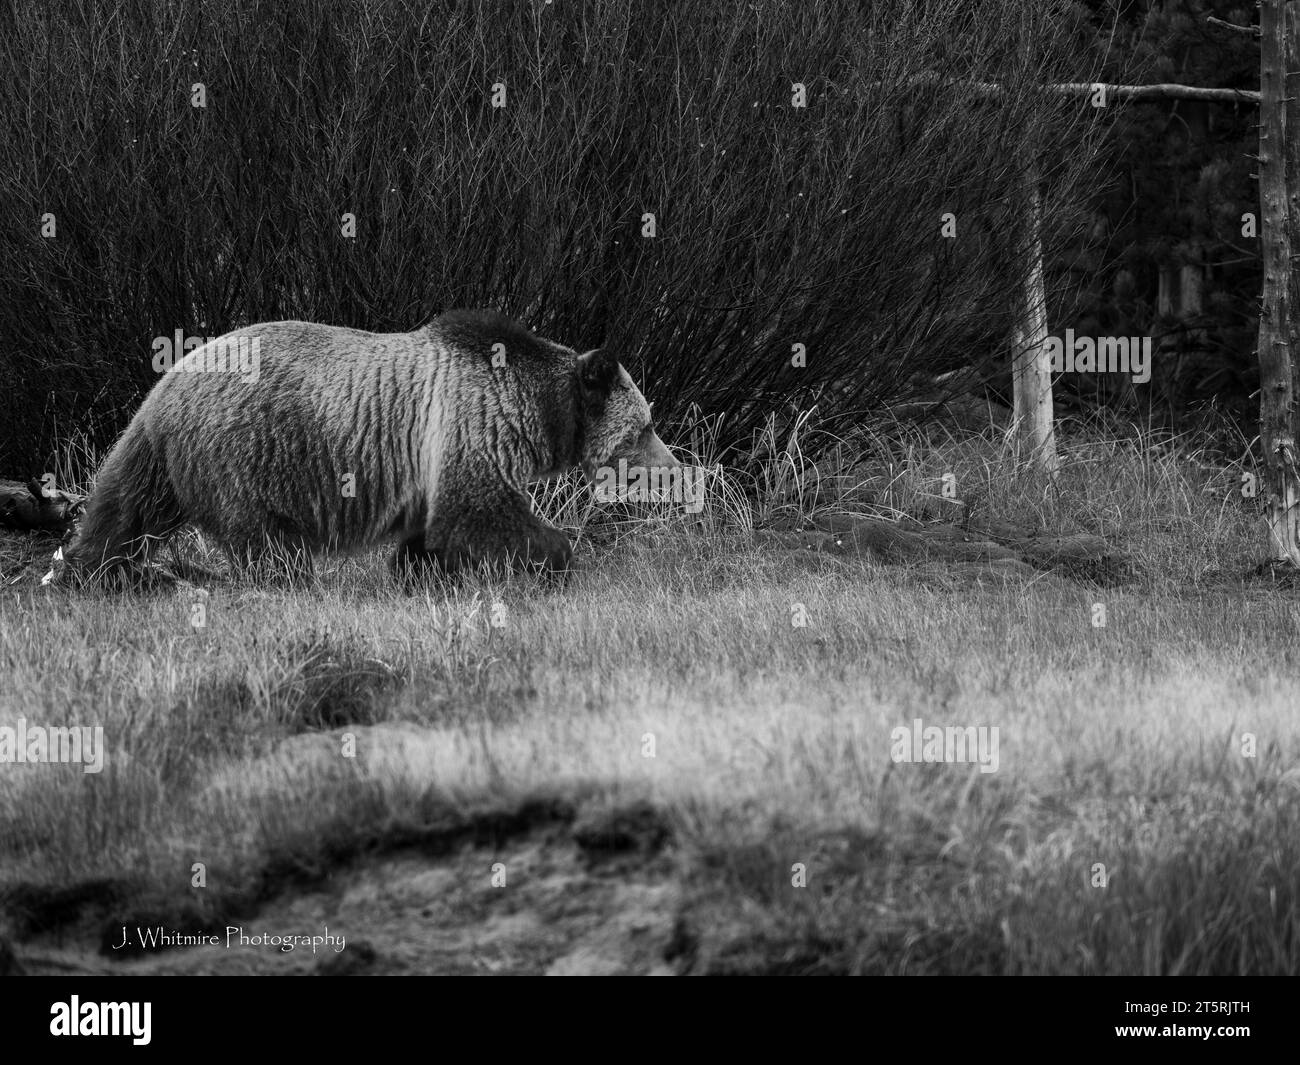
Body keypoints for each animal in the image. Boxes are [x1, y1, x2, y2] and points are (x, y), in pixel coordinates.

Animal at [55, 310, 676, 582]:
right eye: (645, 426)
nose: (674, 466)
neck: (535, 408)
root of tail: (166, 383)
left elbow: (435, 529)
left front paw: (419, 570)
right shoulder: (469, 419)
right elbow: (479, 513)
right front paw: (556, 555)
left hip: (162, 455)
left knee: (124, 505)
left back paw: (87, 567)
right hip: (244, 449)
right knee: (265, 540)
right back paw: (288, 581)